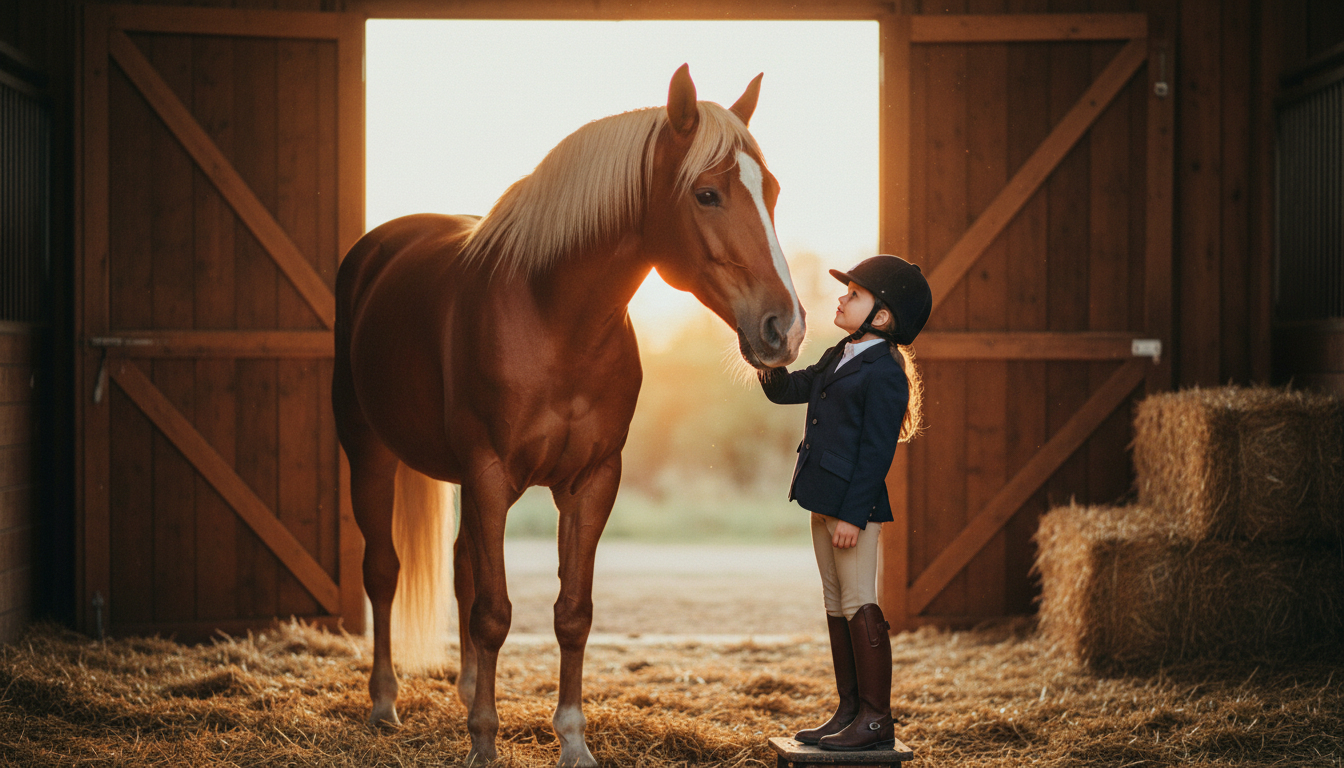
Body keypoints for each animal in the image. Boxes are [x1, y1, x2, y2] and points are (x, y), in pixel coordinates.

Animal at [332, 64, 805, 767]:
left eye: (769, 190)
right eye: (707, 194)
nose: (786, 328)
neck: (552, 316)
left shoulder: (591, 480)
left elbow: (570, 611)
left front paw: (572, 740)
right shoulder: (490, 474)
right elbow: (495, 613)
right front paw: (483, 742)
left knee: (461, 565)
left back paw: (465, 692)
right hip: (369, 453)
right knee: (385, 572)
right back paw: (385, 703)